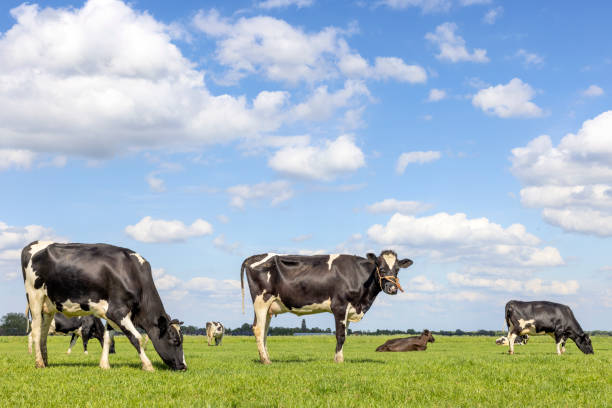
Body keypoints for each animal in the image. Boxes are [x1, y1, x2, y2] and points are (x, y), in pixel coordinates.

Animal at [22, 241, 186, 372]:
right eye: (175, 341)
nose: (183, 366)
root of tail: (32, 244)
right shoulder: (117, 312)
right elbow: (137, 338)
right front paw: (148, 365)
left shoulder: (111, 314)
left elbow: (108, 338)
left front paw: (104, 365)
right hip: (35, 297)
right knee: (36, 332)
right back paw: (39, 363)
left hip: (48, 307)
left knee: (43, 334)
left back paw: (45, 361)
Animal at [241, 250, 414, 364]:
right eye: (381, 267)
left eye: (397, 270)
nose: (392, 288)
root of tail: (254, 257)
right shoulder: (340, 306)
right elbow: (340, 335)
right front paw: (338, 360)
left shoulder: (350, 309)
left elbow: (345, 335)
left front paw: (339, 358)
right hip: (261, 300)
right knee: (258, 329)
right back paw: (265, 360)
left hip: (269, 307)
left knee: (264, 331)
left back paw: (266, 357)